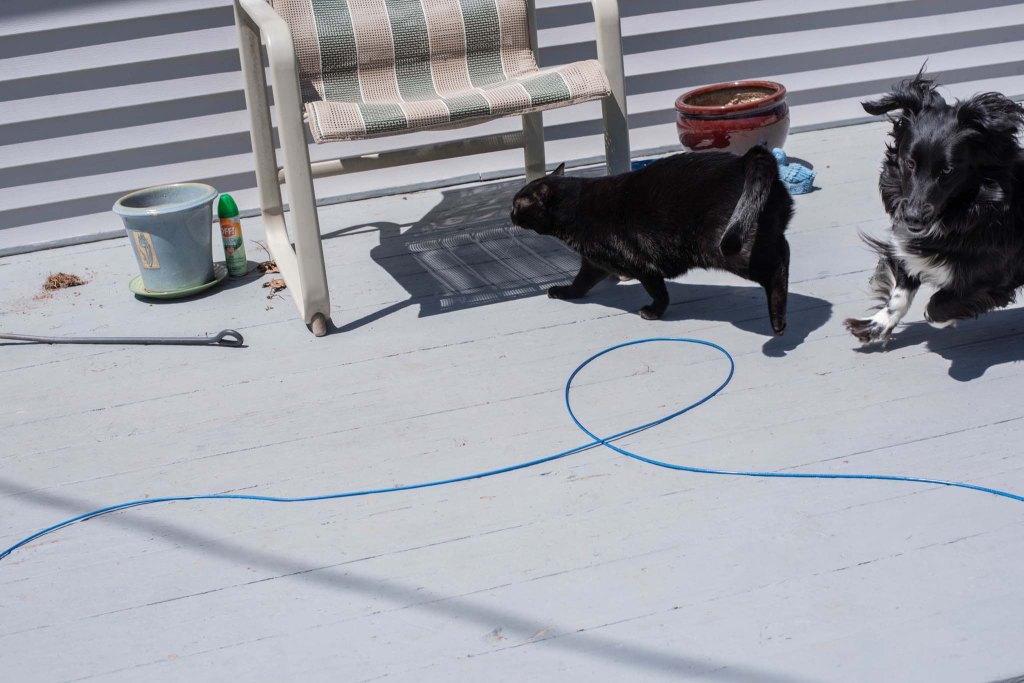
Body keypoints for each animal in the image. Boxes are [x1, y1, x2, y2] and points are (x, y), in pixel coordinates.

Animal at [509, 146, 794, 335]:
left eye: (517, 204)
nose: (509, 213)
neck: (576, 207)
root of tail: (745, 160)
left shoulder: (641, 265)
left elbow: (659, 293)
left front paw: (653, 313)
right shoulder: (596, 263)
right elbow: (580, 283)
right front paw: (564, 292)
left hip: (726, 246)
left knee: (776, 267)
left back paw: (778, 323)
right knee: (784, 250)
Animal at [844, 73, 1024, 344]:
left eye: (948, 170)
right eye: (909, 163)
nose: (913, 219)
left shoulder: (996, 276)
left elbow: (935, 307)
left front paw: (949, 319)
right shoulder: (906, 249)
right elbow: (900, 292)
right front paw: (876, 325)